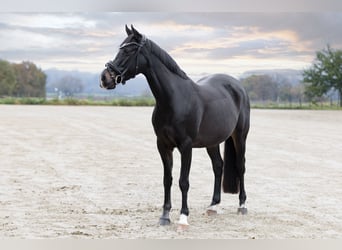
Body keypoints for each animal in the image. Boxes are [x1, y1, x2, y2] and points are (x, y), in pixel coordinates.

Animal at [100, 25, 250, 227]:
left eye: (129, 50)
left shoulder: (186, 146)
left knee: (241, 166)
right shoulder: (163, 145)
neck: (174, 99)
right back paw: (213, 206)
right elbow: (167, 179)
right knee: (218, 166)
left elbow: (183, 181)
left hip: (240, 136)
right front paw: (165, 216)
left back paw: (242, 205)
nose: (104, 78)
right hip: (212, 142)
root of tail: (237, 86)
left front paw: (183, 217)